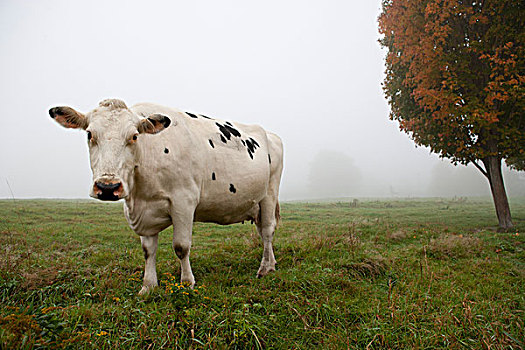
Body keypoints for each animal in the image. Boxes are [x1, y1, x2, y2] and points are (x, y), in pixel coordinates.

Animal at [50, 98, 282, 292]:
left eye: (134, 136)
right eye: (90, 134)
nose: (107, 187)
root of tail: (271, 134)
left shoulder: (184, 201)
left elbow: (181, 246)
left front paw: (187, 282)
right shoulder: (144, 211)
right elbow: (148, 250)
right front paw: (148, 286)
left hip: (270, 193)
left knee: (268, 231)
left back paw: (266, 268)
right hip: (256, 203)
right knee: (262, 231)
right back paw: (271, 262)